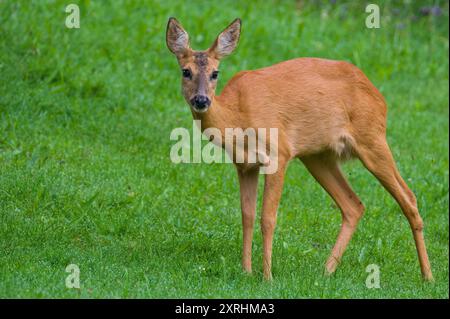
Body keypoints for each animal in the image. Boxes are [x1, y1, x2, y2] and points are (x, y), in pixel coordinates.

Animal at [165, 18, 432, 282]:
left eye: (215, 73)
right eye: (186, 71)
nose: (201, 100)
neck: (236, 117)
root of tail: (378, 95)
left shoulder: (278, 153)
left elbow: (268, 218)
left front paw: (267, 277)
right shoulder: (245, 166)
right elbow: (247, 216)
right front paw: (246, 271)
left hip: (372, 138)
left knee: (409, 197)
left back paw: (427, 276)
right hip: (318, 157)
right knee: (353, 205)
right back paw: (326, 271)